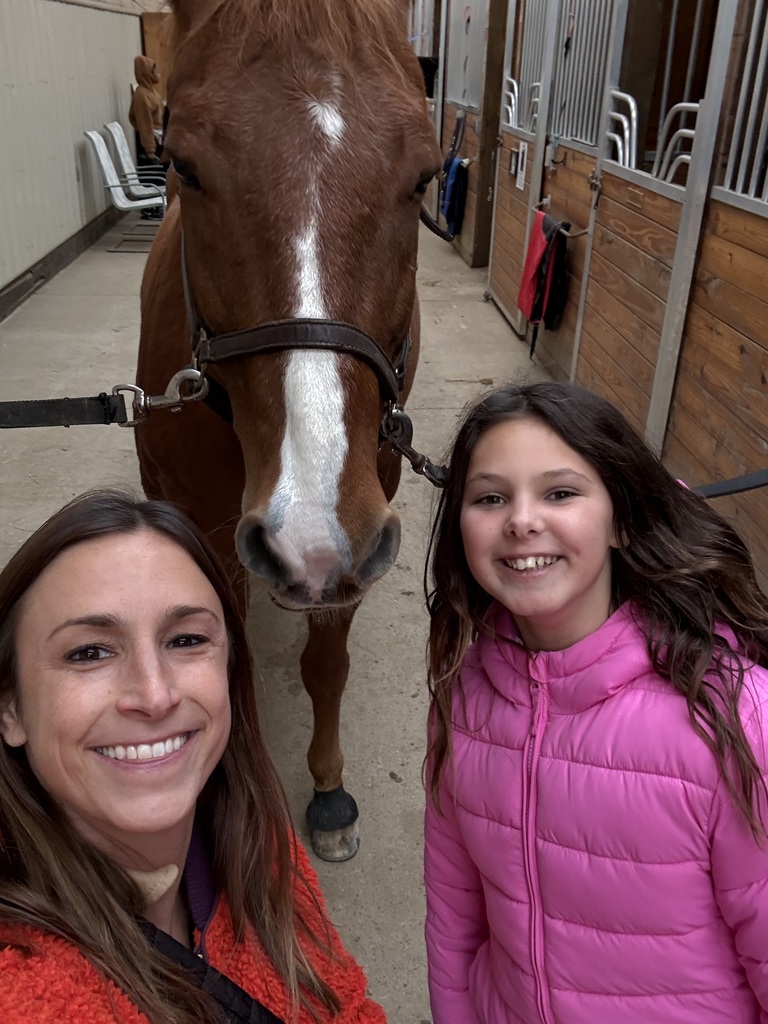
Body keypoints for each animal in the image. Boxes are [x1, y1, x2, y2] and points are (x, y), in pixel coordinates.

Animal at [134, 0, 442, 861]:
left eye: (424, 175)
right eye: (186, 165)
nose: (307, 534)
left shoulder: (358, 522)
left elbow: (326, 662)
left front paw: (329, 793)